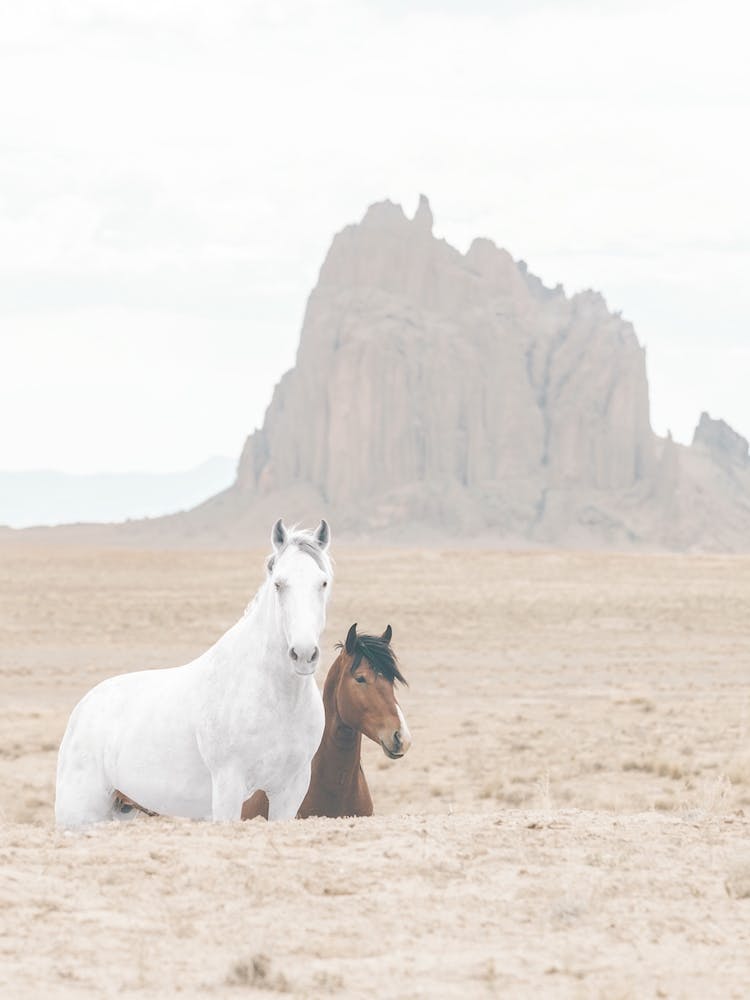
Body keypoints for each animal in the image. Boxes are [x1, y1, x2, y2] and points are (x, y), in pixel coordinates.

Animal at [54, 519, 332, 829]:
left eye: (322, 582)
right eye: (278, 584)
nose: (304, 653)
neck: (274, 697)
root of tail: (81, 710)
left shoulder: (290, 789)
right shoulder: (228, 784)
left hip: (121, 808)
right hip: (80, 814)